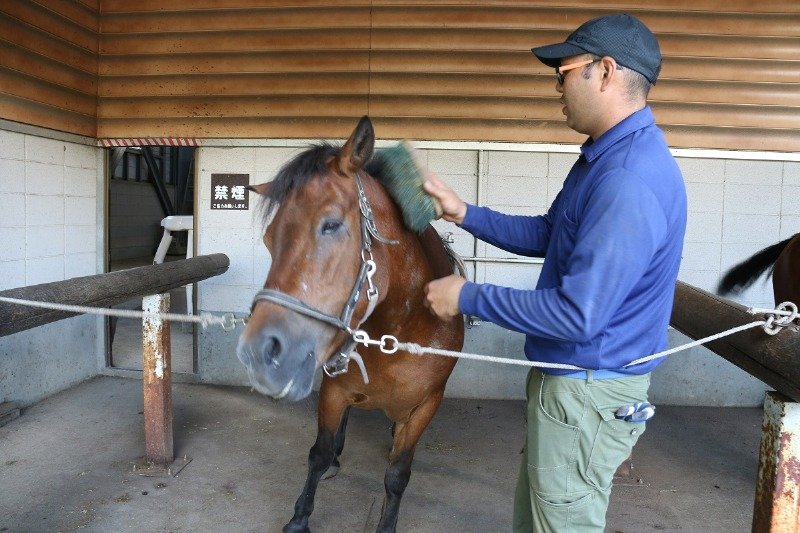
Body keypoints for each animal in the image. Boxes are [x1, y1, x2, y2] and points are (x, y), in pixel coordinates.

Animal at [236, 117, 462, 532]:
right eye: (269, 238)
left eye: (331, 225)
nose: (260, 352)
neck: (398, 333)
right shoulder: (333, 390)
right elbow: (319, 453)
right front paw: (299, 517)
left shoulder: (427, 405)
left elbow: (397, 475)